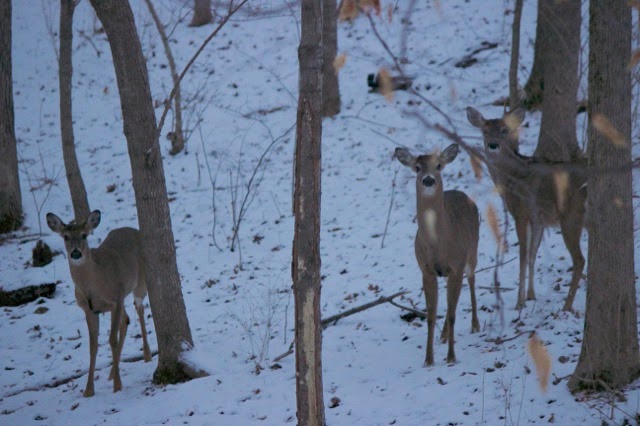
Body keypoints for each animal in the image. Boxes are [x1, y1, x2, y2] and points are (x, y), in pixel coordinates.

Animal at [46, 210, 152, 397]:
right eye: (65, 237)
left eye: (84, 235)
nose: (76, 253)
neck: (94, 284)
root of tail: (135, 230)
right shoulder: (89, 310)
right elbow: (93, 346)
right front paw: (88, 390)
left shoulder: (115, 299)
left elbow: (112, 340)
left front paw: (118, 386)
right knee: (126, 320)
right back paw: (111, 372)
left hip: (139, 283)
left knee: (139, 309)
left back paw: (147, 356)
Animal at [395, 144, 480, 366]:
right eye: (417, 167)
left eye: (439, 165)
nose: (428, 179)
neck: (439, 244)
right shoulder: (426, 270)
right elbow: (431, 316)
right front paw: (428, 359)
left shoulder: (457, 265)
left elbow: (452, 315)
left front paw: (451, 357)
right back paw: (443, 336)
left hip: (472, 250)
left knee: (472, 278)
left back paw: (475, 325)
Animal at [466, 106, 587, 312]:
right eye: (485, 131)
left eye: (504, 131)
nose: (493, 144)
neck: (511, 179)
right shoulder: (538, 219)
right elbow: (532, 255)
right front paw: (531, 295)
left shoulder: (520, 213)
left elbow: (523, 256)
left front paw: (519, 303)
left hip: (571, 215)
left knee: (579, 260)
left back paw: (567, 306)